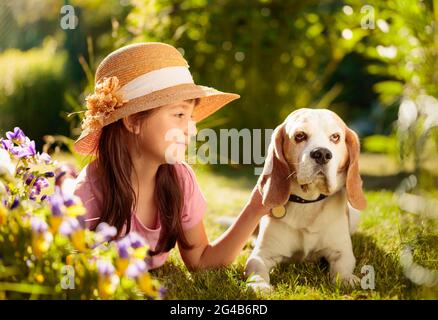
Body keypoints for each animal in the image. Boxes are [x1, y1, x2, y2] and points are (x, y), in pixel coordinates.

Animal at [246, 109, 366, 294]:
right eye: (300, 135)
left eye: (335, 137)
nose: (322, 154)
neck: (308, 202)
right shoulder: (261, 255)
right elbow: (256, 267)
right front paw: (259, 285)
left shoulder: (342, 251)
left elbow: (343, 266)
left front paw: (347, 279)